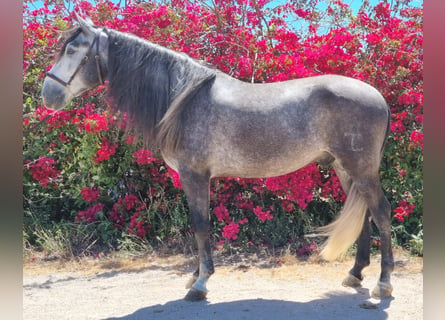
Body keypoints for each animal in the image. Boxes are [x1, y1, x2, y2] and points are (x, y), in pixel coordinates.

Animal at [40, 16, 392, 302]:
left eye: (72, 51)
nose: (47, 95)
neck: (183, 101)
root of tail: (378, 97)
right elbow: (201, 225)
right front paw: (195, 277)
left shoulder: (194, 175)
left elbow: (201, 225)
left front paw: (200, 284)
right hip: (345, 169)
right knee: (364, 215)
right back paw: (354, 275)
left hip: (361, 169)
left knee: (382, 212)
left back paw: (383, 284)